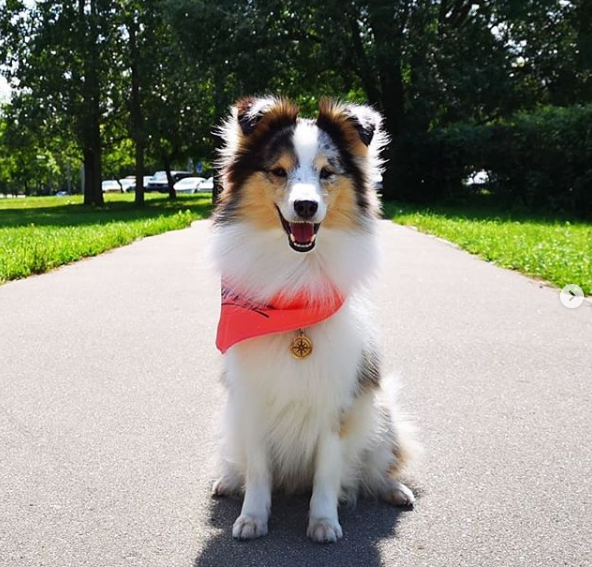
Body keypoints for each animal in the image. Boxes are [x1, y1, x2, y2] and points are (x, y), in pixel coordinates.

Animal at [208, 95, 416, 544]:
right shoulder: (251, 398)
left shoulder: (336, 400)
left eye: (326, 172)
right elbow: (259, 469)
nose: (306, 206)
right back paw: (229, 482)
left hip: (381, 413)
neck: (295, 279)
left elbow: (327, 470)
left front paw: (323, 522)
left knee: (380, 465)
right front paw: (252, 518)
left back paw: (394, 490)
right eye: (278, 171)